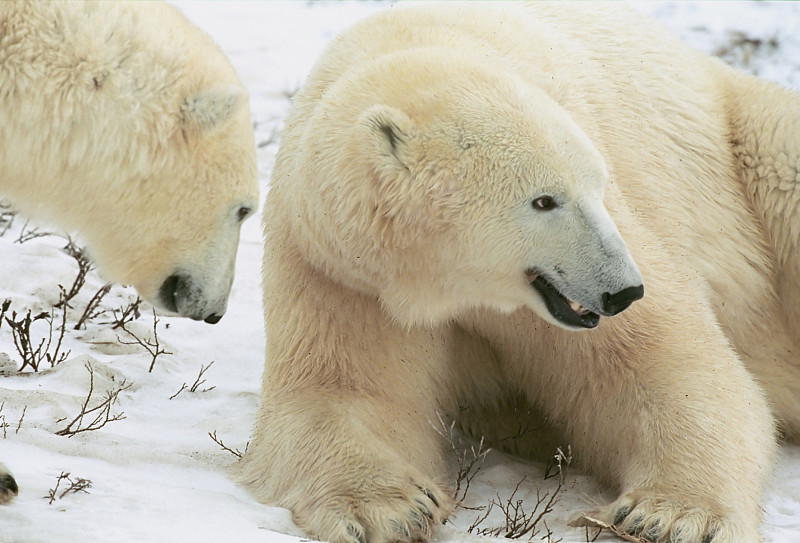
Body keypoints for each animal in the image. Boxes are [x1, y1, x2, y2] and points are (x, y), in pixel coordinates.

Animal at [239, 4, 800, 543]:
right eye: (544, 200)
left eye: (598, 185)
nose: (624, 291)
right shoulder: (344, 271)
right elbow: (343, 392)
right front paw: (389, 508)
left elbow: (667, 366)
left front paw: (669, 516)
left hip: (743, 143)